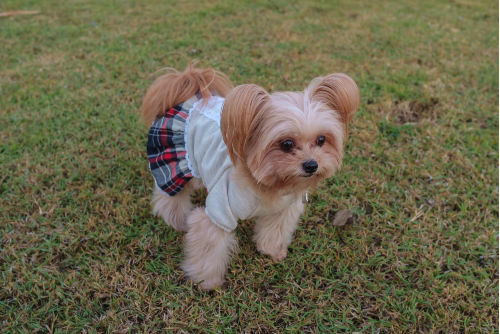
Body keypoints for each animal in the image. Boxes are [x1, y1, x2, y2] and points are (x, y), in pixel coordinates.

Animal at [142, 65, 360, 290]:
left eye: (321, 140)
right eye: (287, 144)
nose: (311, 165)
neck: (268, 184)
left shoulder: (282, 210)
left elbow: (274, 232)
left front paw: (272, 251)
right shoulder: (218, 213)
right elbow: (209, 248)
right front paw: (207, 282)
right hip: (174, 165)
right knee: (170, 197)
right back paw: (175, 221)